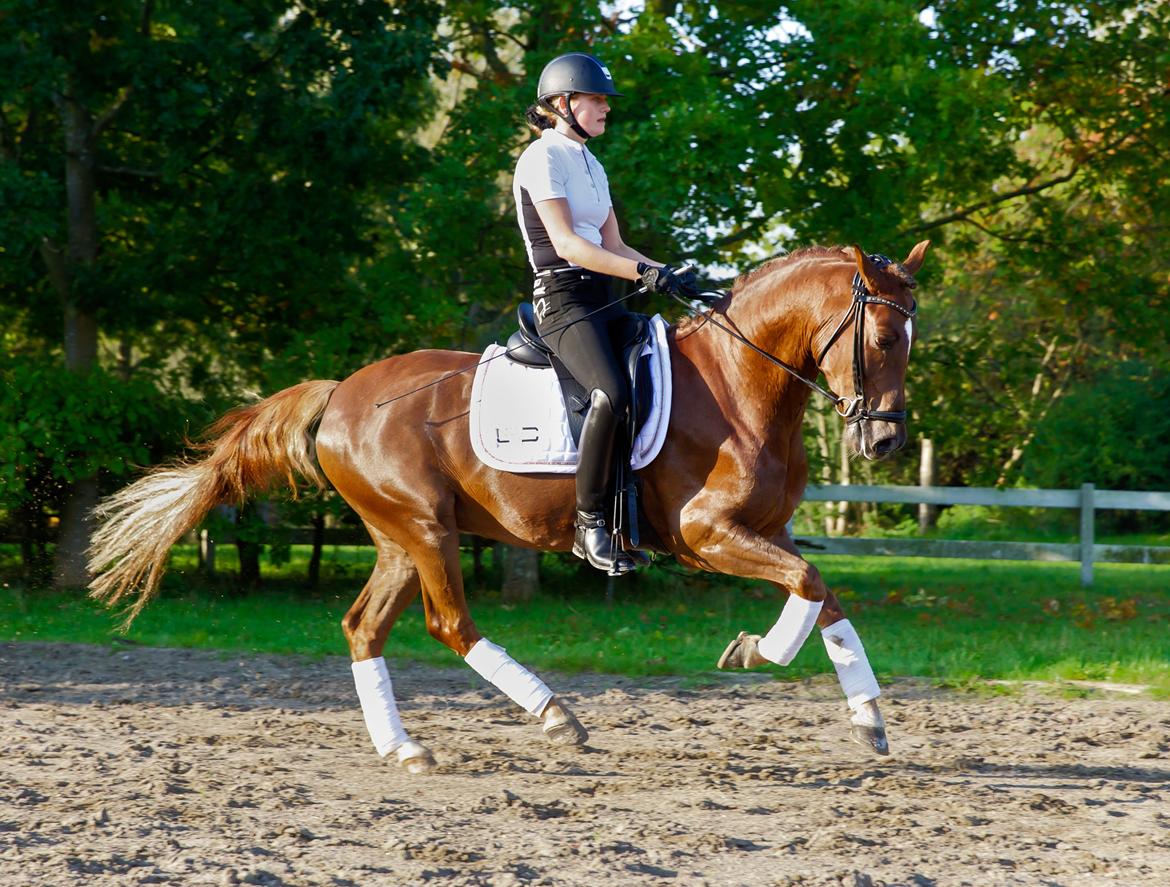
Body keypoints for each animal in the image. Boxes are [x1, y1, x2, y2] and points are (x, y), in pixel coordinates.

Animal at [88, 241, 929, 773]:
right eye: (885, 337)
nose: (886, 442)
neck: (740, 380)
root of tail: (341, 393)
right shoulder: (707, 533)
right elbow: (808, 588)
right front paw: (755, 651)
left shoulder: (769, 530)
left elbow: (823, 595)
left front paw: (868, 715)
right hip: (426, 527)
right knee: (449, 623)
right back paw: (554, 713)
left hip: (400, 539)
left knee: (364, 627)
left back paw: (404, 749)